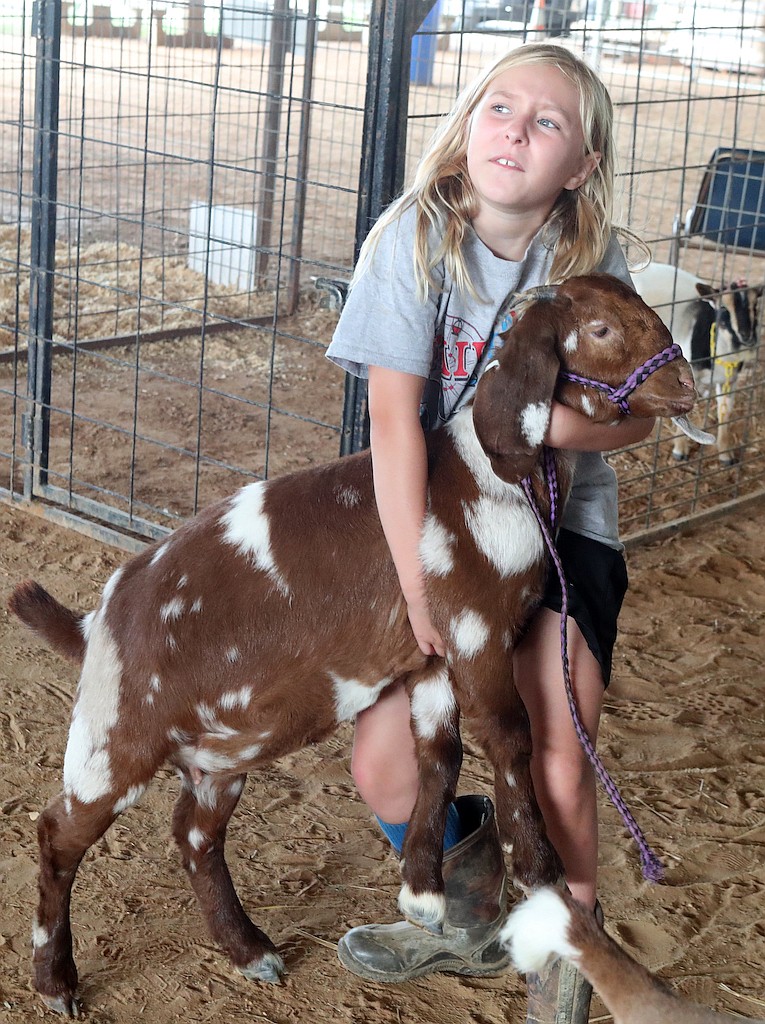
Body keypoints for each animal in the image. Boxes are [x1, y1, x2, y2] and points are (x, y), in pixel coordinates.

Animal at [8, 274, 700, 1015]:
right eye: (600, 329)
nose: (686, 384)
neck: (491, 479)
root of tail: (98, 620)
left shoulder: (433, 655)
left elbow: (439, 755)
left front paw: (423, 893)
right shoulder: (473, 630)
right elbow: (510, 736)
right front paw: (540, 871)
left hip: (221, 754)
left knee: (195, 837)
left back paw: (249, 950)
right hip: (115, 740)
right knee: (56, 832)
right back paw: (55, 981)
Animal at [630, 260, 761, 464]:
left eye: (755, 308)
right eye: (723, 309)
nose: (747, 337)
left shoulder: (730, 380)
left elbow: (725, 412)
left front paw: (725, 453)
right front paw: (679, 451)